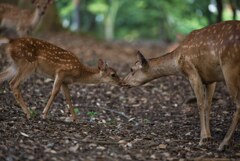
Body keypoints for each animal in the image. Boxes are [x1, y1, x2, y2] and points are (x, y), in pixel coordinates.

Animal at [123, 20, 240, 151]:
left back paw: (224, 143)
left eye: (132, 69)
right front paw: (209, 136)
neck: (177, 61)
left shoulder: (191, 71)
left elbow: (200, 104)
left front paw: (203, 138)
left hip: (229, 66)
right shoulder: (210, 78)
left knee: (238, 104)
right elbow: (208, 105)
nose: (123, 81)